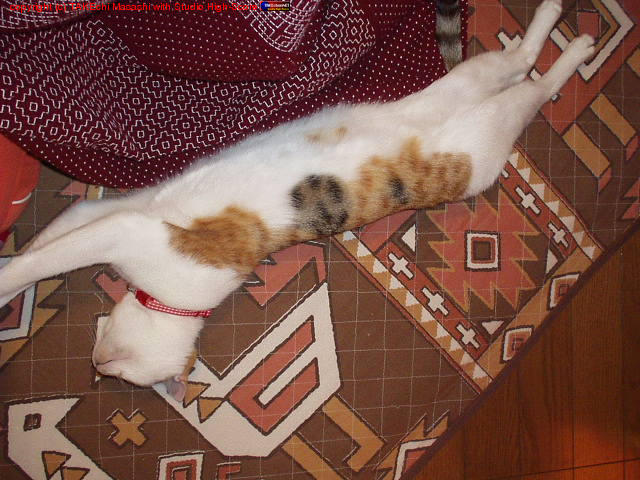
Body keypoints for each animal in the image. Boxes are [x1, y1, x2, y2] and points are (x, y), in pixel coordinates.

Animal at [0, 0, 593, 401]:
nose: (96, 364)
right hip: (471, 83)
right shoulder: (103, 211)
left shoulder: (126, 228)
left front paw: (10, 278)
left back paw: (575, 51)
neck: (163, 296)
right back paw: (554, 19)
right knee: (516, 61)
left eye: (118, 371)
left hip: (488, 137)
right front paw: (16, 270)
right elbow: (44, 246)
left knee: (535, 85)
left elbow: (46, 256)